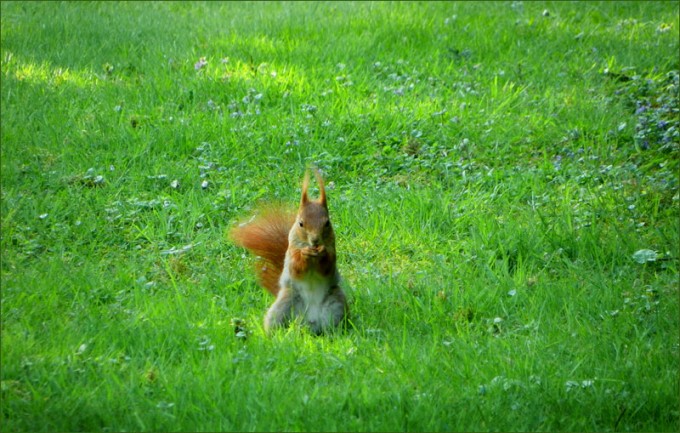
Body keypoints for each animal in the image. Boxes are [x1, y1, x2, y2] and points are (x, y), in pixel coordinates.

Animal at [230, 170, 348, 335]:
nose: (315, 240)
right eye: (301, 223)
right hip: (284, 305)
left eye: (327, 223)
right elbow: (296, 268)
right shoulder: (291, 252)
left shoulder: (333, 250)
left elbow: (327, 266)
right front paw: (304, 254)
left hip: (336, 306)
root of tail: (310, 324)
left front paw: (322, 252)